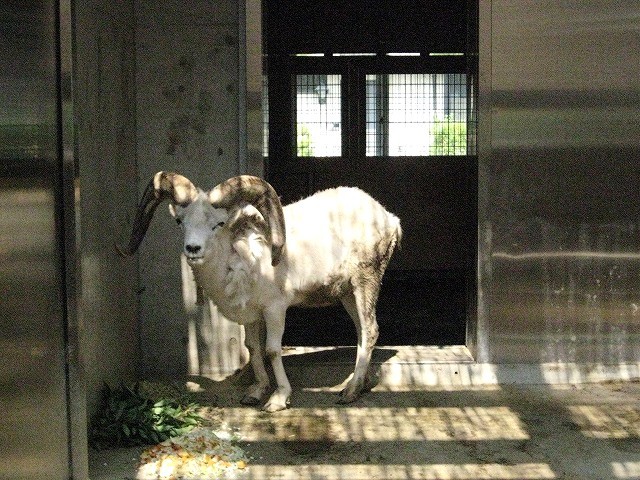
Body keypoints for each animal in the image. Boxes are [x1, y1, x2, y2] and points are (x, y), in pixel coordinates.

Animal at [119, 173, 402, 412]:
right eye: (180, 221)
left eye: (219, 224)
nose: (193, 249)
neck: (243, 260)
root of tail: (390, 219)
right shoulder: (251, 314)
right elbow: (253, 348)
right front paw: (255, 393)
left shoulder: (275, 309)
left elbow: (272, 350)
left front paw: (278, 399)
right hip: (347, 293)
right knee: (361, 331)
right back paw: (360, 384)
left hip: (366, 282)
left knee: (370, 330)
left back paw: (350, 392)